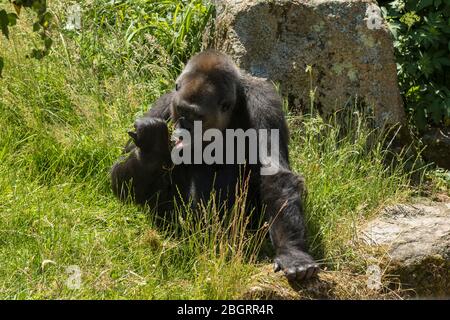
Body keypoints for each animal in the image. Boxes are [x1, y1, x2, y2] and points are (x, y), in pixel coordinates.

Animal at [110, 49, 318, 280]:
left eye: (197, 116)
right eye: (181, 110)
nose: (184, 128)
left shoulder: (264, 102)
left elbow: (275, 175)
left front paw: (292, 252)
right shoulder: (165, 103)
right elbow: (120, 176)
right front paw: (151, 147)